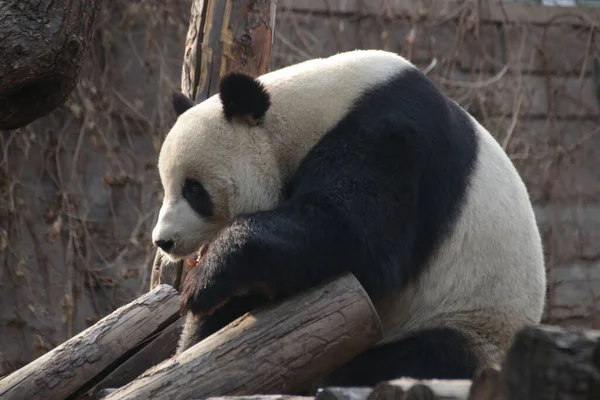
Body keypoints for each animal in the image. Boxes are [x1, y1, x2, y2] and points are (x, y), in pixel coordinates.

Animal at [151, 48, 548, 386]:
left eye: (194, 190)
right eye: (167, 186)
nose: (163, 241)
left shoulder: (392, 137)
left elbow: (356, 235)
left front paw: (202, 281)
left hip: (469, 320)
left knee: (416, 359)